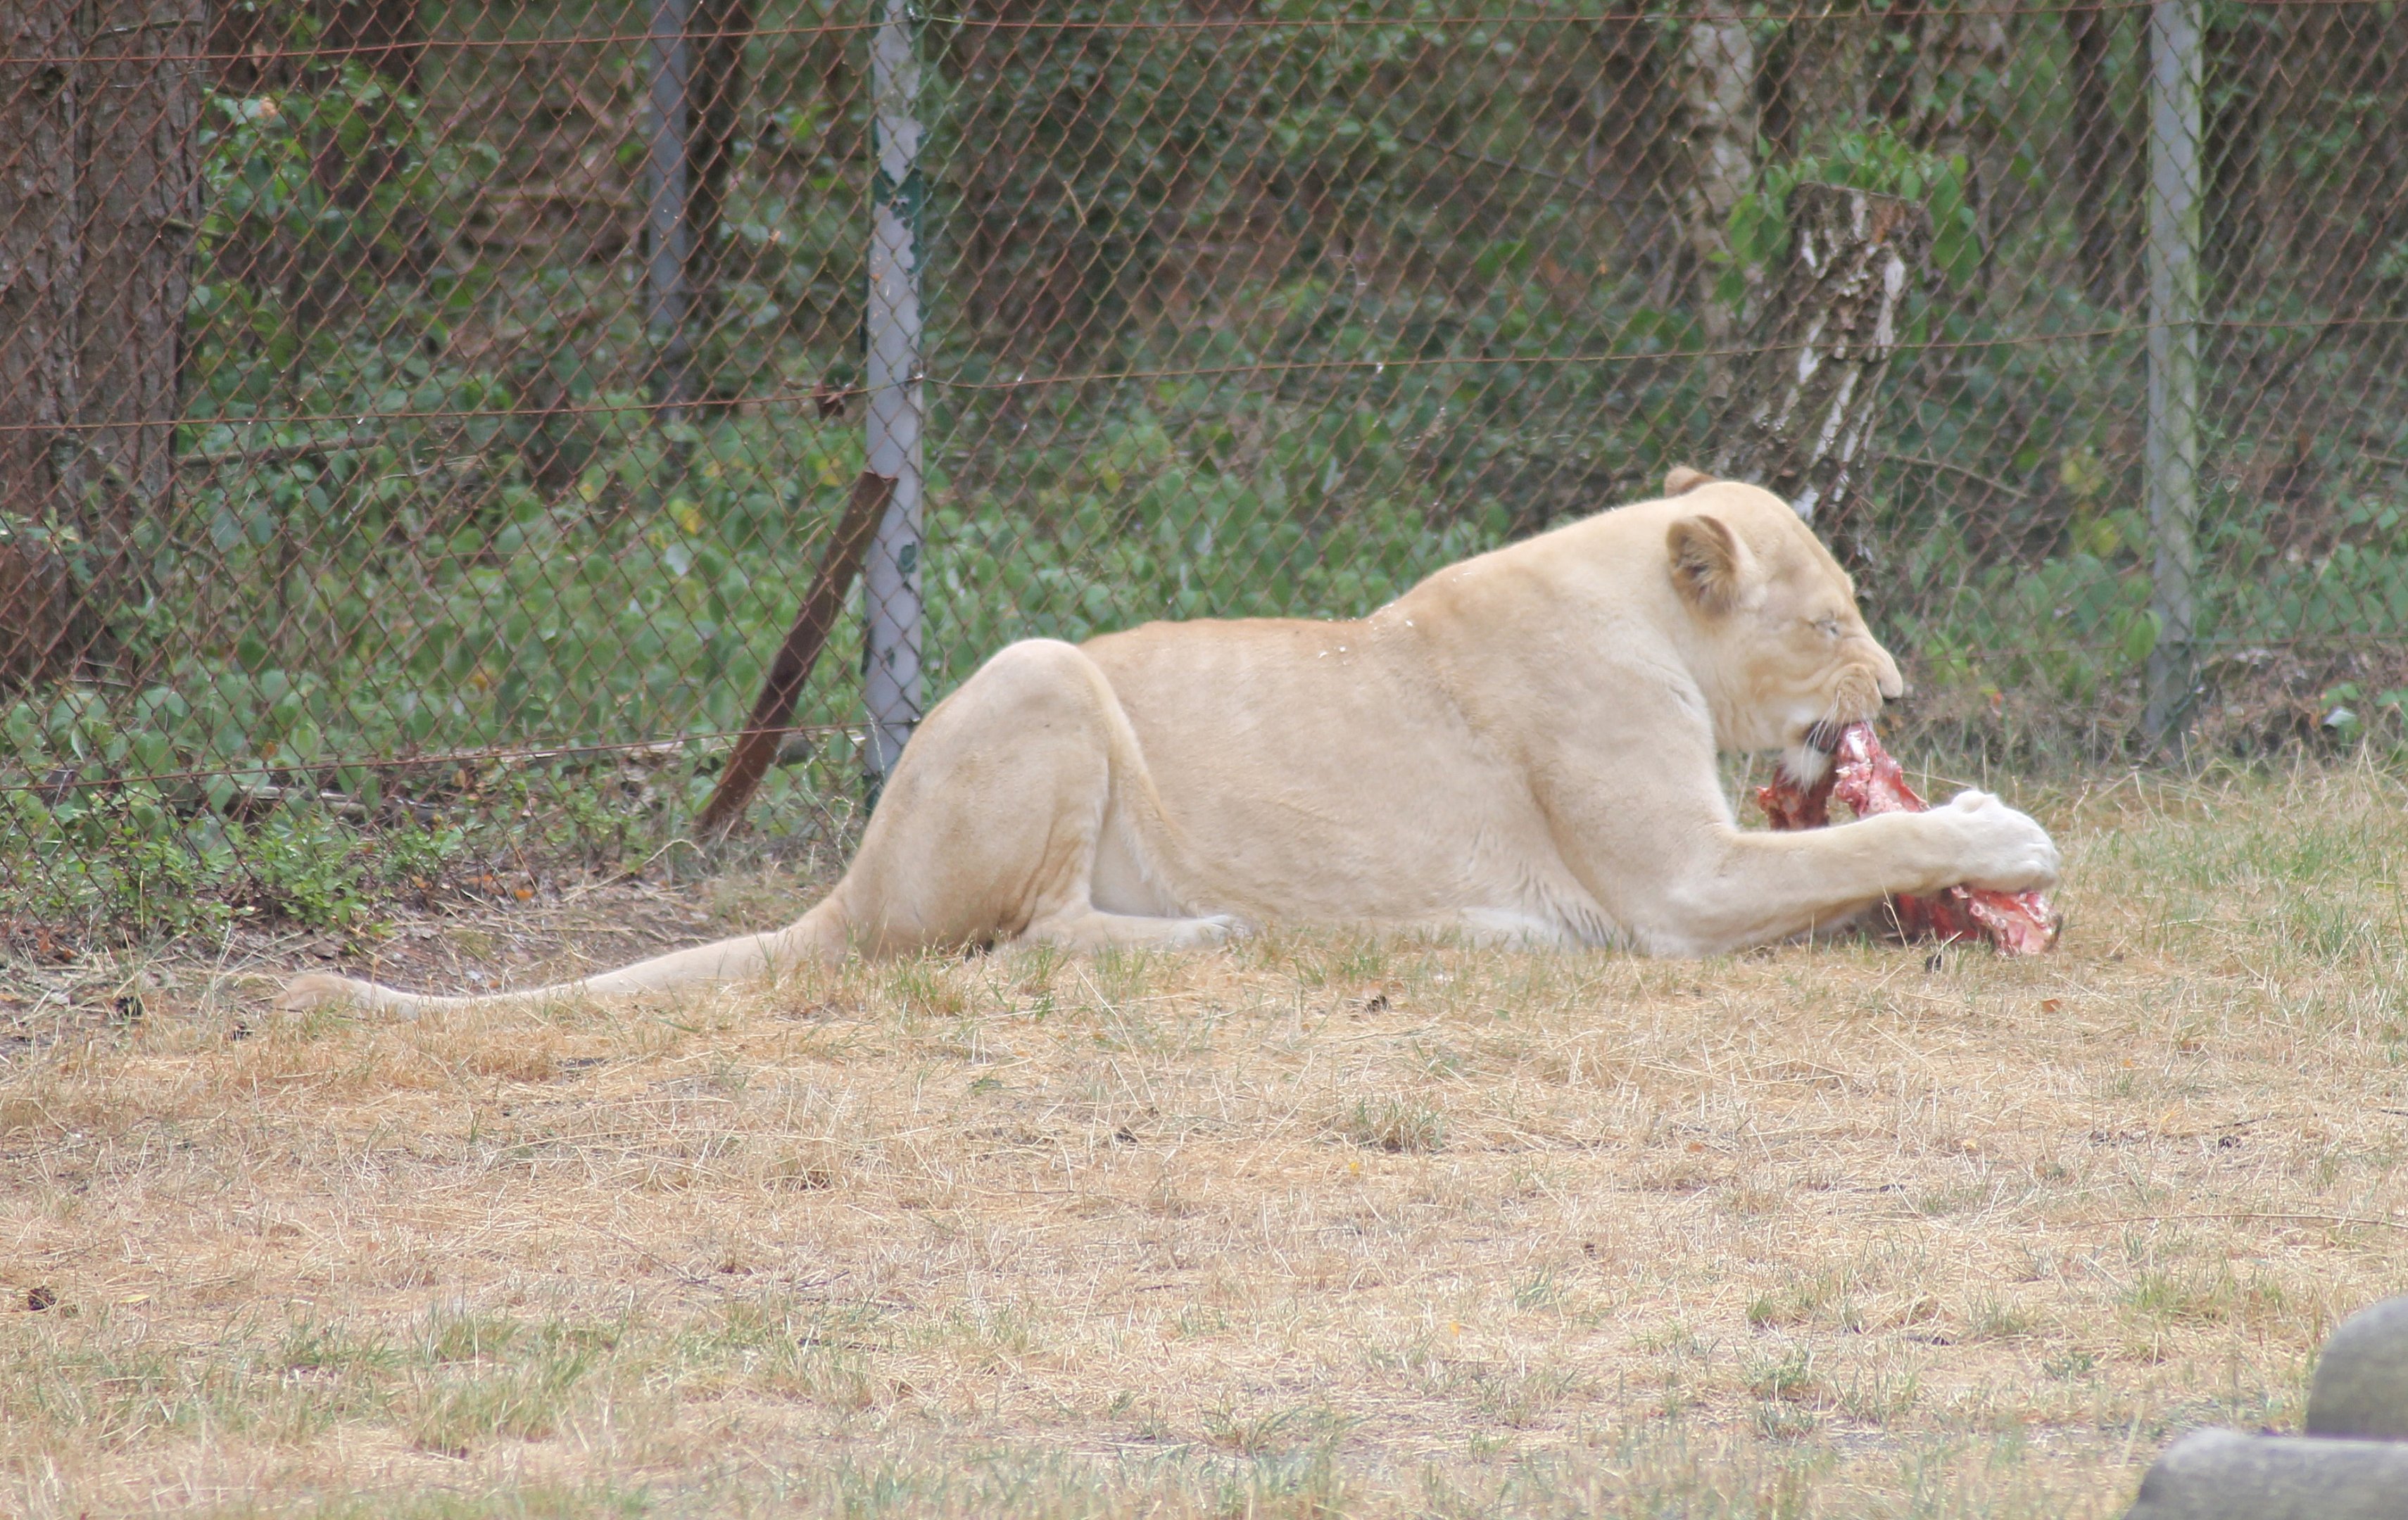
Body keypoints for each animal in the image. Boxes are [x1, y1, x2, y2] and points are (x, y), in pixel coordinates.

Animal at [280, 470, 2059, 1015]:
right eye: (1832, 619)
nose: (1896, 688)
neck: (1640, 606)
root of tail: (852, 882)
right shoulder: (1677, 888)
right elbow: (1872, 835)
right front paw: (1998, 834)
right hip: (1043, 679)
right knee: (1023, 941)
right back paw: (1214, 930)